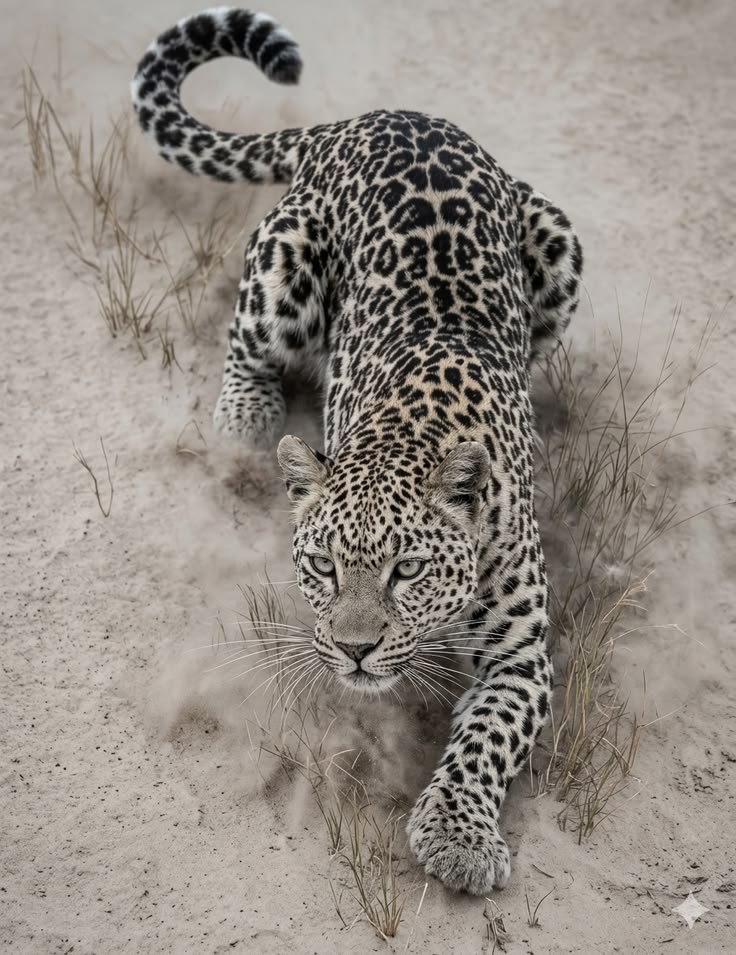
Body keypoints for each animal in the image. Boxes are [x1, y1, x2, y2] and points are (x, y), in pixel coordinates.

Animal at [132, 7, 583, 895]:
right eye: (321, 566)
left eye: (408, 569)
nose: (355, 646)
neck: (408, 430)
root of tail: (371, 119)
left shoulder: (522, 659)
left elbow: (486, 739)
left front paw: (457, 835)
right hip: (285, 261)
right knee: (245, 341)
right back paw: (242, 422)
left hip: (559, 243)